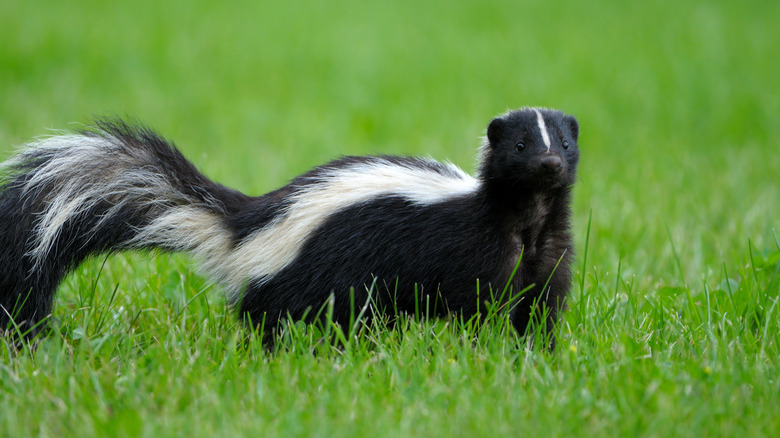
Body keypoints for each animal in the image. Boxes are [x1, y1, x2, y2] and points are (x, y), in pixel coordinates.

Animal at [0, 107, 580, 346]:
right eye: (521, 145)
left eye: (565, 142)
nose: (551, 163)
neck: (527, 217)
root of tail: (242, 225)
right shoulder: (475, 251)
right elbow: (482, 304)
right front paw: (483, 350)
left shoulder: (549, 255)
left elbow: (540, 307)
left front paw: (536, 353)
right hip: (315, 272)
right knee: (281, 317)